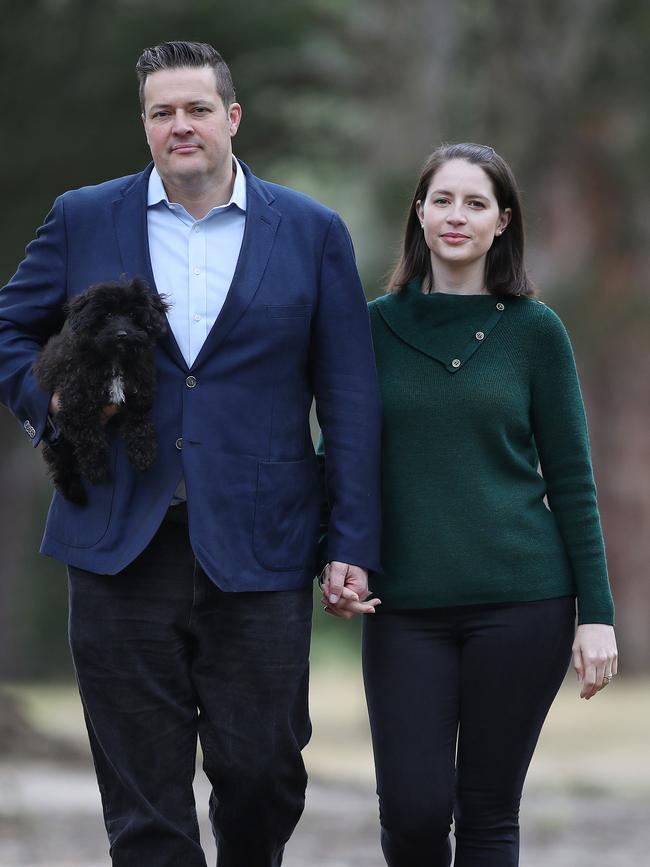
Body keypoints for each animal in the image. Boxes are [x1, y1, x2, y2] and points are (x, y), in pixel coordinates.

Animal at [34, 278, 170, 506]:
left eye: (132, 314)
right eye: (107, 315)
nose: (122, 334)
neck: (114, 358)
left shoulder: (139, 394)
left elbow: (139, 424)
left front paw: (143, 454)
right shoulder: (74, 406)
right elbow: (90, 438)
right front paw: (96, 470)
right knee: (61, 465)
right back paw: (75, 492)